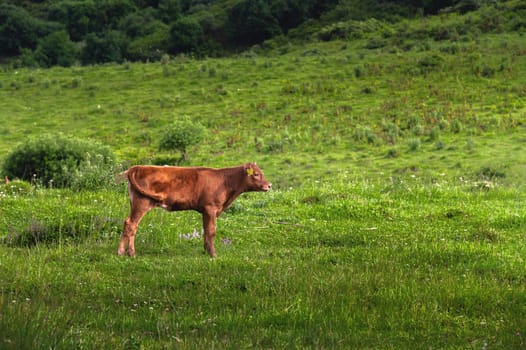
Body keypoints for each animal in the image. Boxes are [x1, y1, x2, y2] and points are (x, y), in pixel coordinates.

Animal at [118, 163, 272, 258]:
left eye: (261, 172)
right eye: (256, 174)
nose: (269, 185)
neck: (225, 182)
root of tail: (137, 167)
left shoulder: (205, 210)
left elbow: (205, 230)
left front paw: (206, 251)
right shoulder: (210, 207)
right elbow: (211, 231)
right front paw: (213, 255)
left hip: (135, 203)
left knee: (130, 224)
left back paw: (127, 252)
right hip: (142, 203)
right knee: (131, 224)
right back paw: (124, 253)